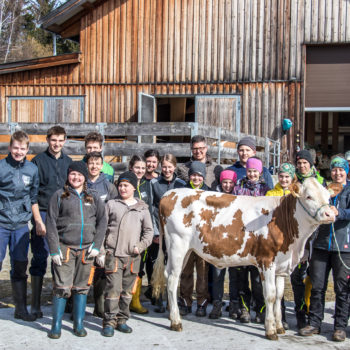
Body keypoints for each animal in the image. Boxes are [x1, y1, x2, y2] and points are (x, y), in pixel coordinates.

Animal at [152, 178, 334, 340]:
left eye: (328, 196)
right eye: (309, 196)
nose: (330, 214)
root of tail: (170, 193)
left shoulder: (282, 264)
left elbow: (279, 295)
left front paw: (279, 327)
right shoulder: (266, 260)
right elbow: (270, 295)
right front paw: (270, 330)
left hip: (186, 250)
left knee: (171, 276)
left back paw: (172, 316)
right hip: (177, 245)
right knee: (173, 279)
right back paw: (176, 322)